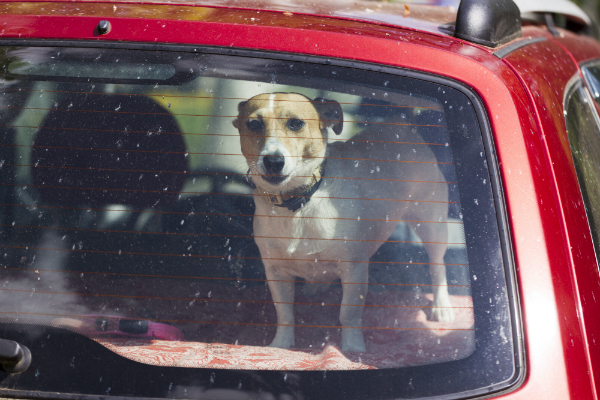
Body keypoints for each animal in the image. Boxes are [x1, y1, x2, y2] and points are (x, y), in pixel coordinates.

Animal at [232, 92, 452, 352]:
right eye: (254, 124)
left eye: (296, 123)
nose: (273, 161)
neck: (299, 203)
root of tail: (402, 125)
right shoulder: (276, 273)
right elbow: (284, 313)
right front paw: (281, 344)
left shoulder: (354, 269)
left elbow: (348, 314)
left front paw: (352, 348)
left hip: (432, 225)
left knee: (437, 265)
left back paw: (442, 306)